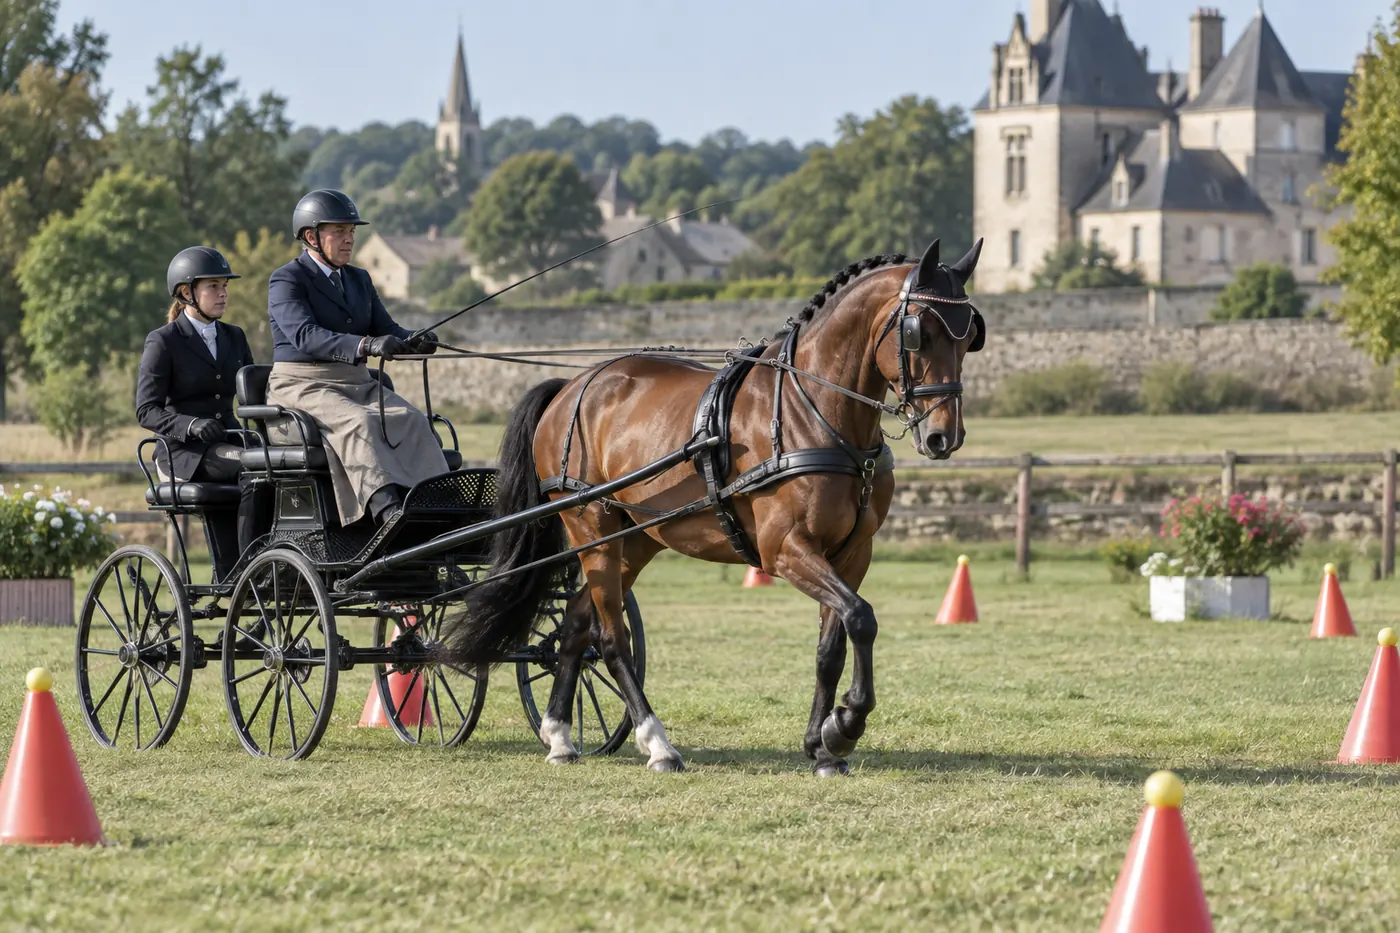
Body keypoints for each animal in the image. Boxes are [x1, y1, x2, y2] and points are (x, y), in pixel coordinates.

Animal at [440, 237, 985, 776]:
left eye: (969, 337)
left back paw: (558, 736)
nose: (944, 437)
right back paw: (657, 744)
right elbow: (861, 617)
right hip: (590, 527)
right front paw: (845, 724)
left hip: (634, 538)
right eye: (918, 332)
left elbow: (833, 643)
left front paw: (822, 745)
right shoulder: (784, 550)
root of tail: (573, 386)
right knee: (611, 637)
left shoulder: (852, 554)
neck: (816, 412)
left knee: (577, 621)